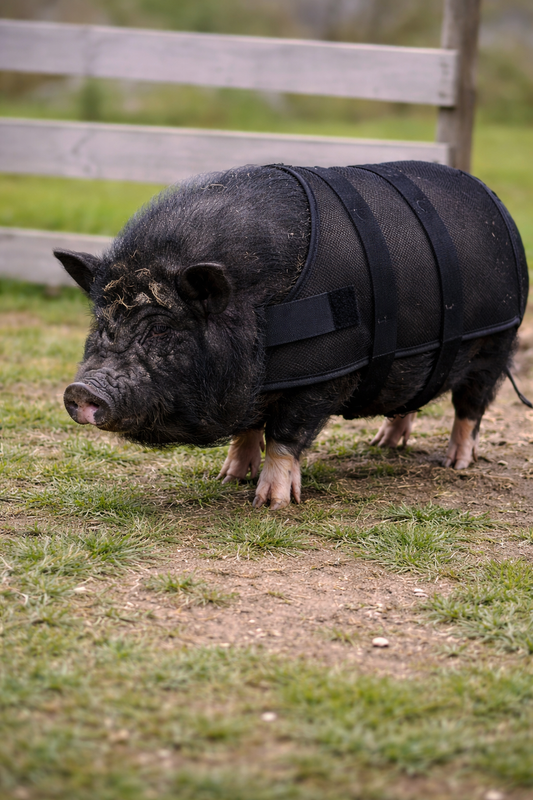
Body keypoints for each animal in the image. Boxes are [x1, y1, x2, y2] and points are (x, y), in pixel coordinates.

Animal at [54, 162, 528, 510]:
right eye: (102, 321)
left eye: (160, 328)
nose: (81, 390)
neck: (259, 313)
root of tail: (493, 201)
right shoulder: (256, 383)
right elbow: (249, 427)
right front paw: (228, 477)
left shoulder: (324, 376)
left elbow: (285, 433)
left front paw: (271, 503)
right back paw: (384, 443)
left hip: (497, 342)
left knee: (471, 406)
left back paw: (456, 464)